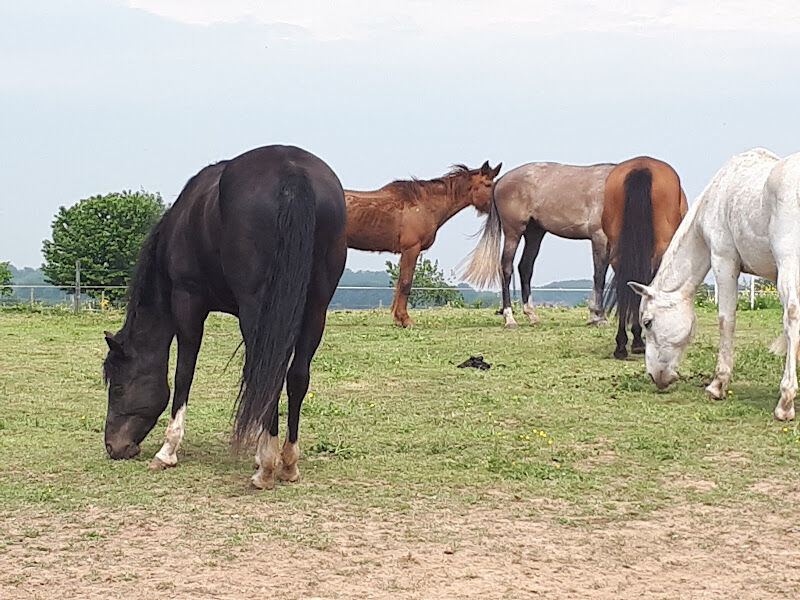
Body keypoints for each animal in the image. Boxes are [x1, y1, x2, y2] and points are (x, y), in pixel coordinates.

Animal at [102, 143, 346, 490]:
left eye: (119, 388)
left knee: (267, 375)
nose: (114, 447)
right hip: (315, 307)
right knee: (296, 376)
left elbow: (184, 373)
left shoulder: (188, 301)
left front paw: (167, 451)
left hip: (258, 309)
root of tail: (292, 172)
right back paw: (287, 464)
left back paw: (266, 469)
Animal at [346, 162, 500, 326]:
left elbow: (400, 283)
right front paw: (405, 319)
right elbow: (405, 283)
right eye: (488, 184)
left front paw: (398, 318)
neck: (423, 205)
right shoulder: (411, 249)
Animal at [632, 149, 800, 422]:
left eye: (647, 322)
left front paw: (717, 385)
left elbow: (726, 320)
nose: (654, 376)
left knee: (792, 316)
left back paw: (784, 403)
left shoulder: (723, 260)